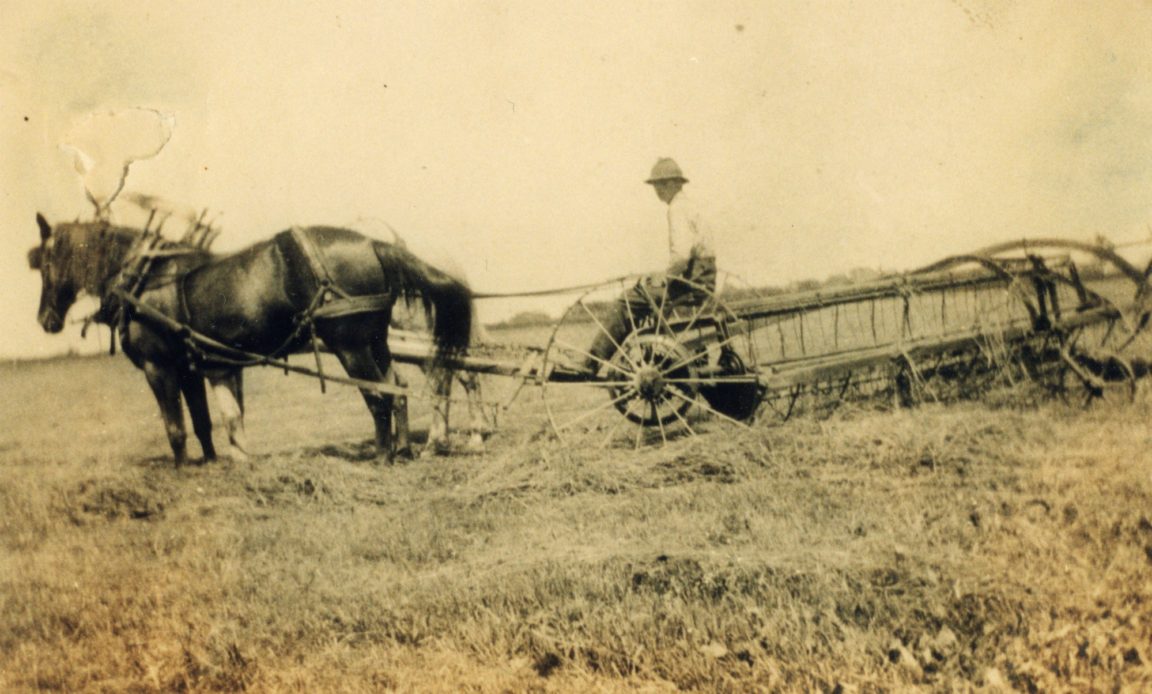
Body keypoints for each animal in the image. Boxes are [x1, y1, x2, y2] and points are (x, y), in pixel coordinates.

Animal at [28, 213, 473, 465]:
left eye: (46, 261)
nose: (45, 320)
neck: (143, 279)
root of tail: (374, 243)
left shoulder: (159, 369)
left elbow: (175, 429)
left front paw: (181, 472)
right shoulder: (192, 368)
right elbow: (206, 422)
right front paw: (214, 465)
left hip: (350, 346)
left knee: (378, 395)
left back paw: (382, 457)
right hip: (376, 341)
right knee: (397, 389)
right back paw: (404, 449)